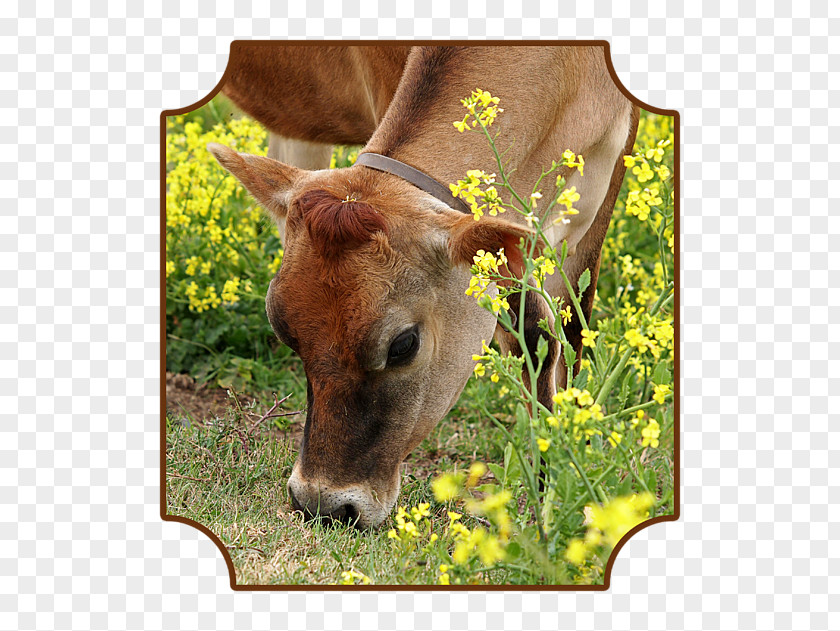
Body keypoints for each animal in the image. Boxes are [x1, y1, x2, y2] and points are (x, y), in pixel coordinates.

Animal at [208, 44, 636, 528]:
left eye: (403, 344)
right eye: (285, 332)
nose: (324, 506)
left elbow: (561, 335)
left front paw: (562, 482)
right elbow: (531, 332)